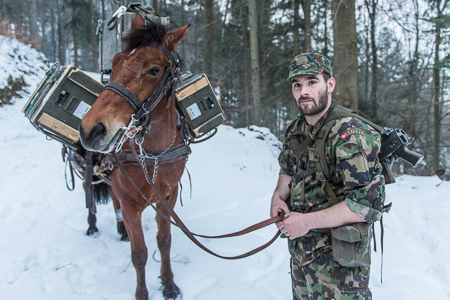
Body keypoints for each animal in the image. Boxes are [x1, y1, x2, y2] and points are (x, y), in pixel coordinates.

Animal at [79, 14, 188, 300]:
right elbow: (139, 255)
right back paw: (92, 225)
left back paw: (120, 230)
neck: (154, 153)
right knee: (90, 193)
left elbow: (164, 241)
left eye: (154, 70)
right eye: (115, 62)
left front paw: (169, 284)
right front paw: (142, 293)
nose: (91, 129)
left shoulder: (168, 196)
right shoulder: (130, 204)